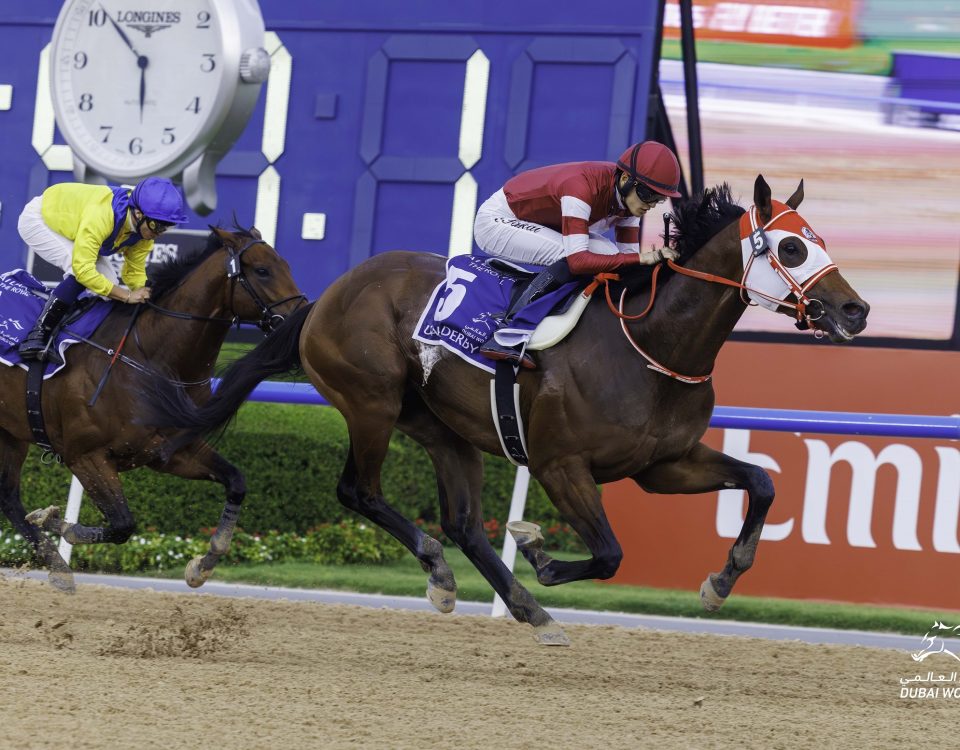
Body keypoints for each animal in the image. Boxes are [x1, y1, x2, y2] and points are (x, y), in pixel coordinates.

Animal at [0, 223, 304, 592]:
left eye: (286, 265)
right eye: (262, 270)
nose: (302, 317)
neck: (149, 359)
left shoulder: (168, 451)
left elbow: (236, 481)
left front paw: (204, 564)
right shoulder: (84, 455)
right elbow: (123, 525)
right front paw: (53, 519)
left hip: (11, 433)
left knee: (8, 496)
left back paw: (58, 567)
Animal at [148, 178, 872, 648]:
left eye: (816, 241)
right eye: (791, 249)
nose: (856, 310)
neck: (652, 345)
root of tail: (325, 296)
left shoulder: (663, 464)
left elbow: (761, 482)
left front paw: (721, 581)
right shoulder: (560, 464)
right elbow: (608, 553)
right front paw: (542, 554)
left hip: (443, 429)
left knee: (464, 522)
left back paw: (517, 604)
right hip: (371, 401)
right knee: (361, 491)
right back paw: (454, 576)